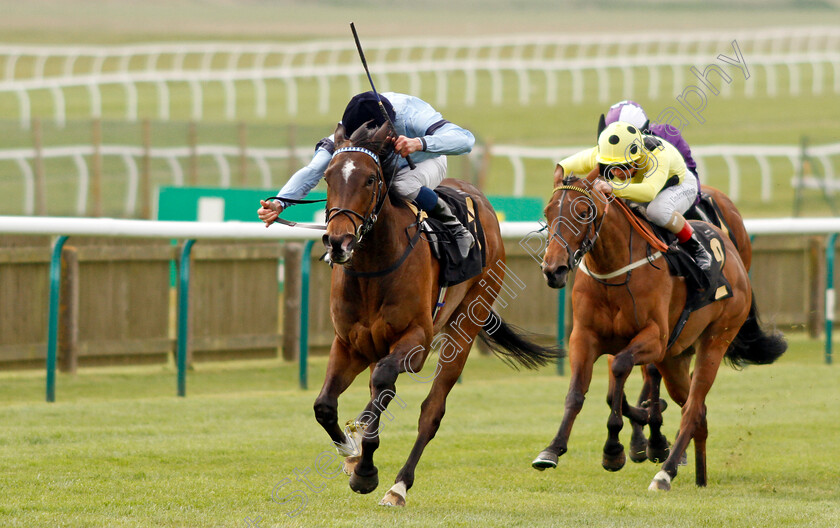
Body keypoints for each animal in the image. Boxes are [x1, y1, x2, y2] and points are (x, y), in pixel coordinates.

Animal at [312, 121, 560, 506]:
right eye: (328, 175)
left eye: (370, 179)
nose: (338, 242)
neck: (373, 268)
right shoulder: (350, 343)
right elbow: (325, 405)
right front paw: (352, 453)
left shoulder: (416, 342)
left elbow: (383, 389)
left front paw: (365, 468)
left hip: (465, 324)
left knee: (431, 411)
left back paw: (399, 486)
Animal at [536, 171, 784, 488]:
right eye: (548, 212)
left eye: (583, 212)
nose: (552, 269)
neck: (614, 273)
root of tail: (732, 253)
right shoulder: (584, 337)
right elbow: (580, 393)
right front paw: (552, 449)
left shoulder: (654, 338)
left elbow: (620, 368)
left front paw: (616, 449)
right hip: (675, 356)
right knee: (696, 409)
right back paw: (697, 475)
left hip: (716, 339)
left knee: (692, 408)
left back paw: (665, 472)